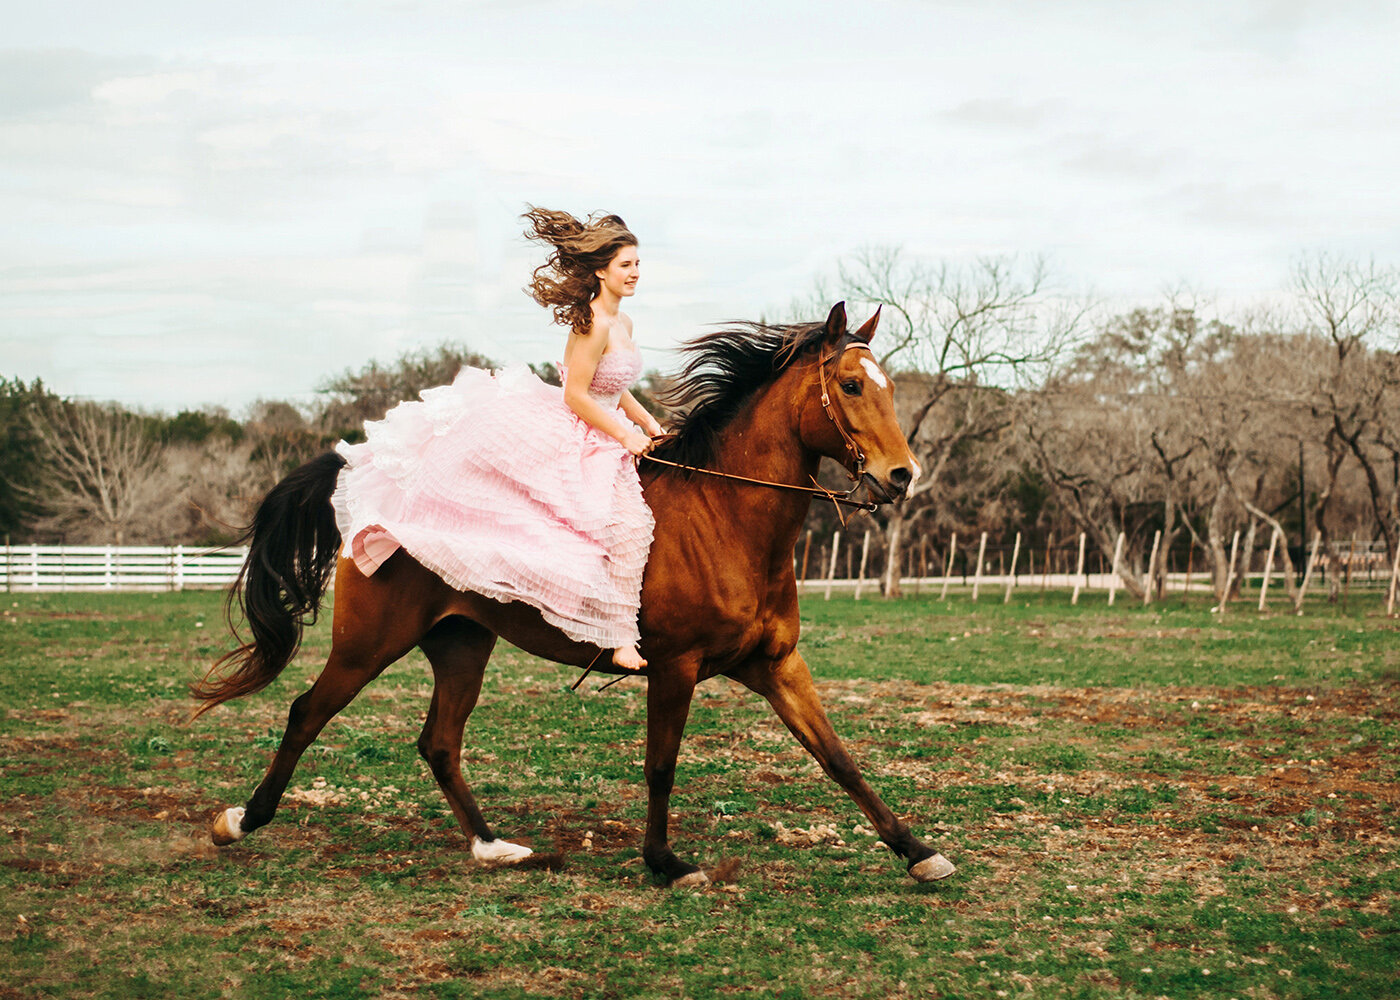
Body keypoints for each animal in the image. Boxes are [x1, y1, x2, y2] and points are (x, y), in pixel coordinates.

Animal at [197, 302, 957, 879]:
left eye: (890, 388)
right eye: (852, 386)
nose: (901, 475)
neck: (726, 519)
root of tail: (366, 474)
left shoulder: (775, 665)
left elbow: (838, 757)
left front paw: (917, 851)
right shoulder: (676, 667)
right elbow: (661, 765)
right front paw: (665, 862)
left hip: (461, 644)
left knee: (438, 742)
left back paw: (494, 847)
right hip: (369, 645)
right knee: (307, 713)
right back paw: (240, 821)